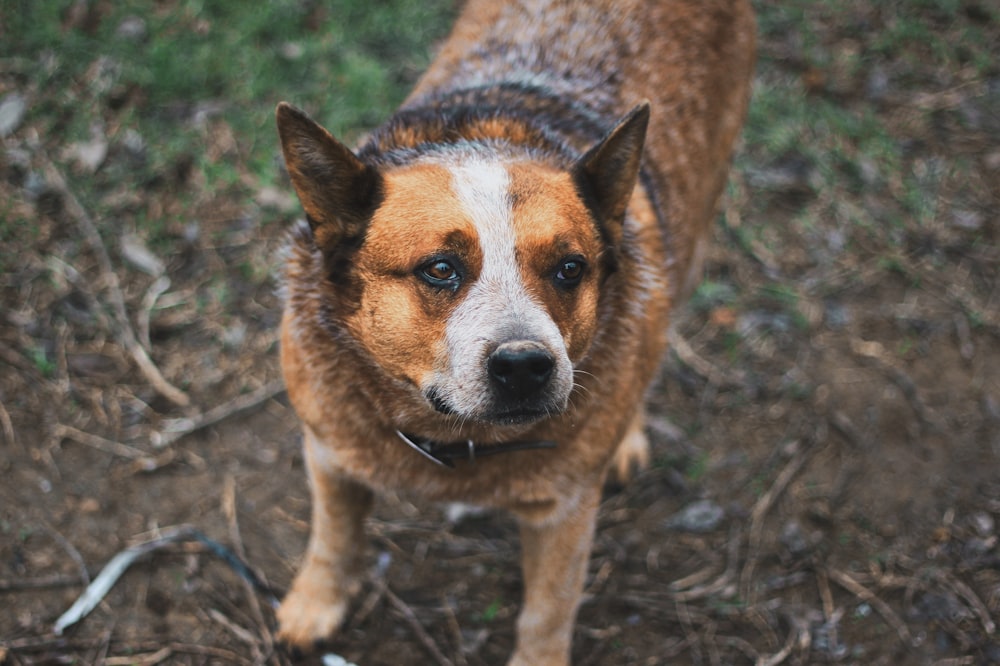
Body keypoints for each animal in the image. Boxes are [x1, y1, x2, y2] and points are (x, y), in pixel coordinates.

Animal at [272, 1, 752, 660]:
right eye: (440, 269)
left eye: (570, 268)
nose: (524, 365)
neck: (454, 440)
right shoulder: (327, 446)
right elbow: (332, 536)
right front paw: (314, 605)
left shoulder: (564, 509)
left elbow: (548, 611)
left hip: (695, 229)